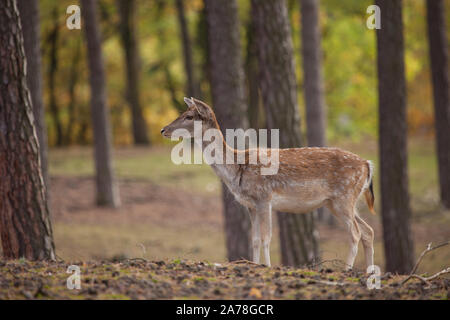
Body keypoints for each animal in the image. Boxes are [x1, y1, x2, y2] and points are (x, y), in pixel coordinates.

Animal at [162, 97, 376, 270]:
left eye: (189, 116)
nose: (163, 129)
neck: (237, 168)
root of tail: (367, 164)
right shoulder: (251, 205)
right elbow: (255, 239)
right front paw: (255, 264)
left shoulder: (264, 197)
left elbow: (266, 238)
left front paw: (268, 266)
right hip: (338, 202)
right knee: (368, 231)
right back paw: (368, 273)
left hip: (344, 196)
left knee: (356, 233)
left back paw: (347, 269)